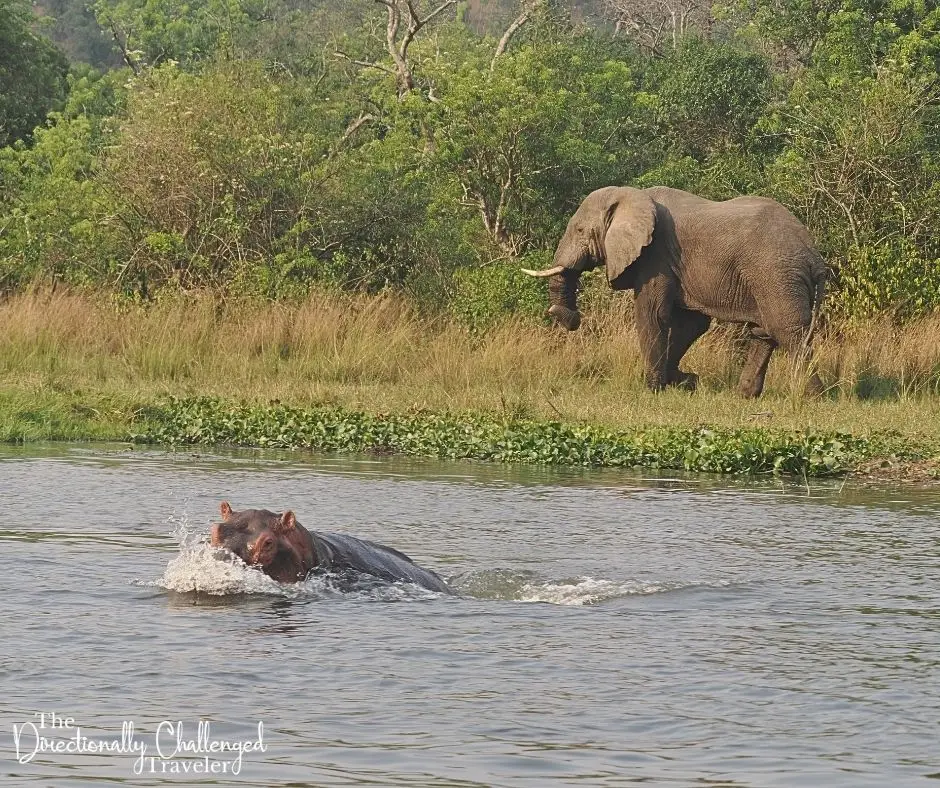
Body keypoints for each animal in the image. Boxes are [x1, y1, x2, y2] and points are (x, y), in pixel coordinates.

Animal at [523, 186, 827, 398]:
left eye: (579, 230)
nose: (571, 318)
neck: (632, 195)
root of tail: (814, 255)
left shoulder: (655, 256)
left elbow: (653, 315)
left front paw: (653, 389)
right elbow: (691, 324)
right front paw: (685, 380)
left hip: (775, 274)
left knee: (787, 330)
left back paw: (813, 396)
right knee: (764, 333)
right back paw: (745, 395)